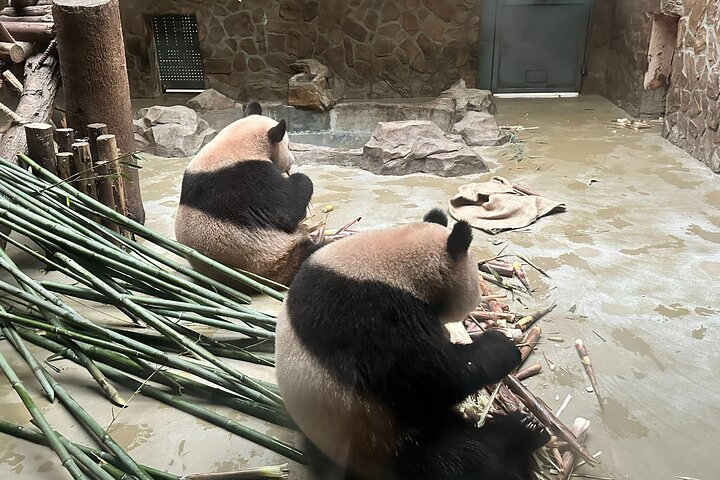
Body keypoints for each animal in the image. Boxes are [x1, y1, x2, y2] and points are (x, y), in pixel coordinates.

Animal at [174, 101, 319, 290]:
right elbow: (285, 211)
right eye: (287, 146)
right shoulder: (248, 178)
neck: (236, 146)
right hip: (275, 258)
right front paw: (300, 179)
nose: (292, 159)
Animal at [275, 208, 549, 480]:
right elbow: (427, 377)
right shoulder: (373, 315)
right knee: (461, 457)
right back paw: (522, 432)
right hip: (384, 441)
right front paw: (500, 346)